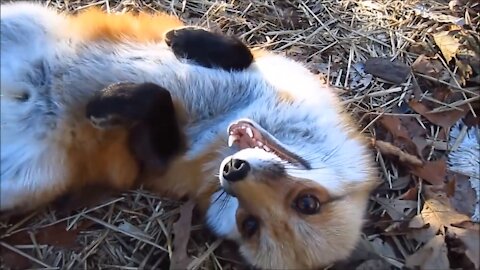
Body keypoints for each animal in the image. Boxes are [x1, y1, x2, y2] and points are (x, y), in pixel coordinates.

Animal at [1, 2, 380, 270]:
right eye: (308, 203)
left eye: (249, 224)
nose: (233, 170)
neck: (222, 120)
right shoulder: (278, 70)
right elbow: (242, 51)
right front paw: (184, 38)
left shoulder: (156, 163)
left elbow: (157, 98)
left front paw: (109, 102)